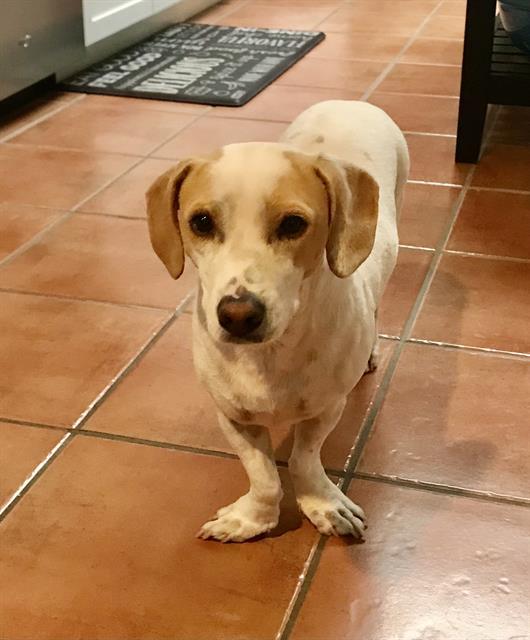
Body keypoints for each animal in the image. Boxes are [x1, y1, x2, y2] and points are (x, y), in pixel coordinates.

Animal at [146, 100, 406, 540]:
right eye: (201, 222)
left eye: (293, 224)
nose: (238, 315)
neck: (270, 357)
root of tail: (348, 102)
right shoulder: (232, 417)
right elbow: (263, 474)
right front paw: (253, 519)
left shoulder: (326, 409)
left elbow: (303, 460)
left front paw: (323, 504)